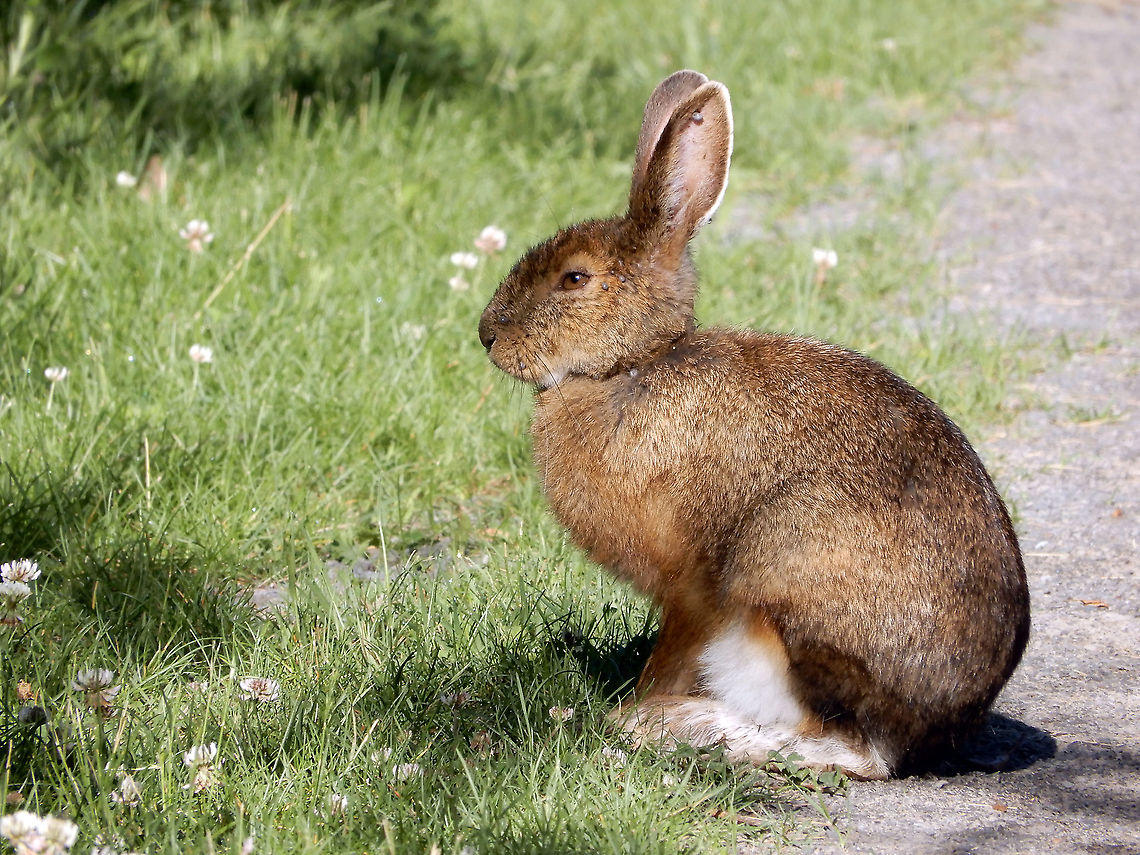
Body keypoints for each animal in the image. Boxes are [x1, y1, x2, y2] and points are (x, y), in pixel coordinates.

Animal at [478, 70, 1030, 779]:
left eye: (575, 278)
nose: (487, 335)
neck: (634, 363)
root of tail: (914, 736)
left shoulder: (691, 589)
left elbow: (672, 653)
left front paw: (630, 710)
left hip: (783, 592)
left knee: (836, 745)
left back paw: (668, 727)